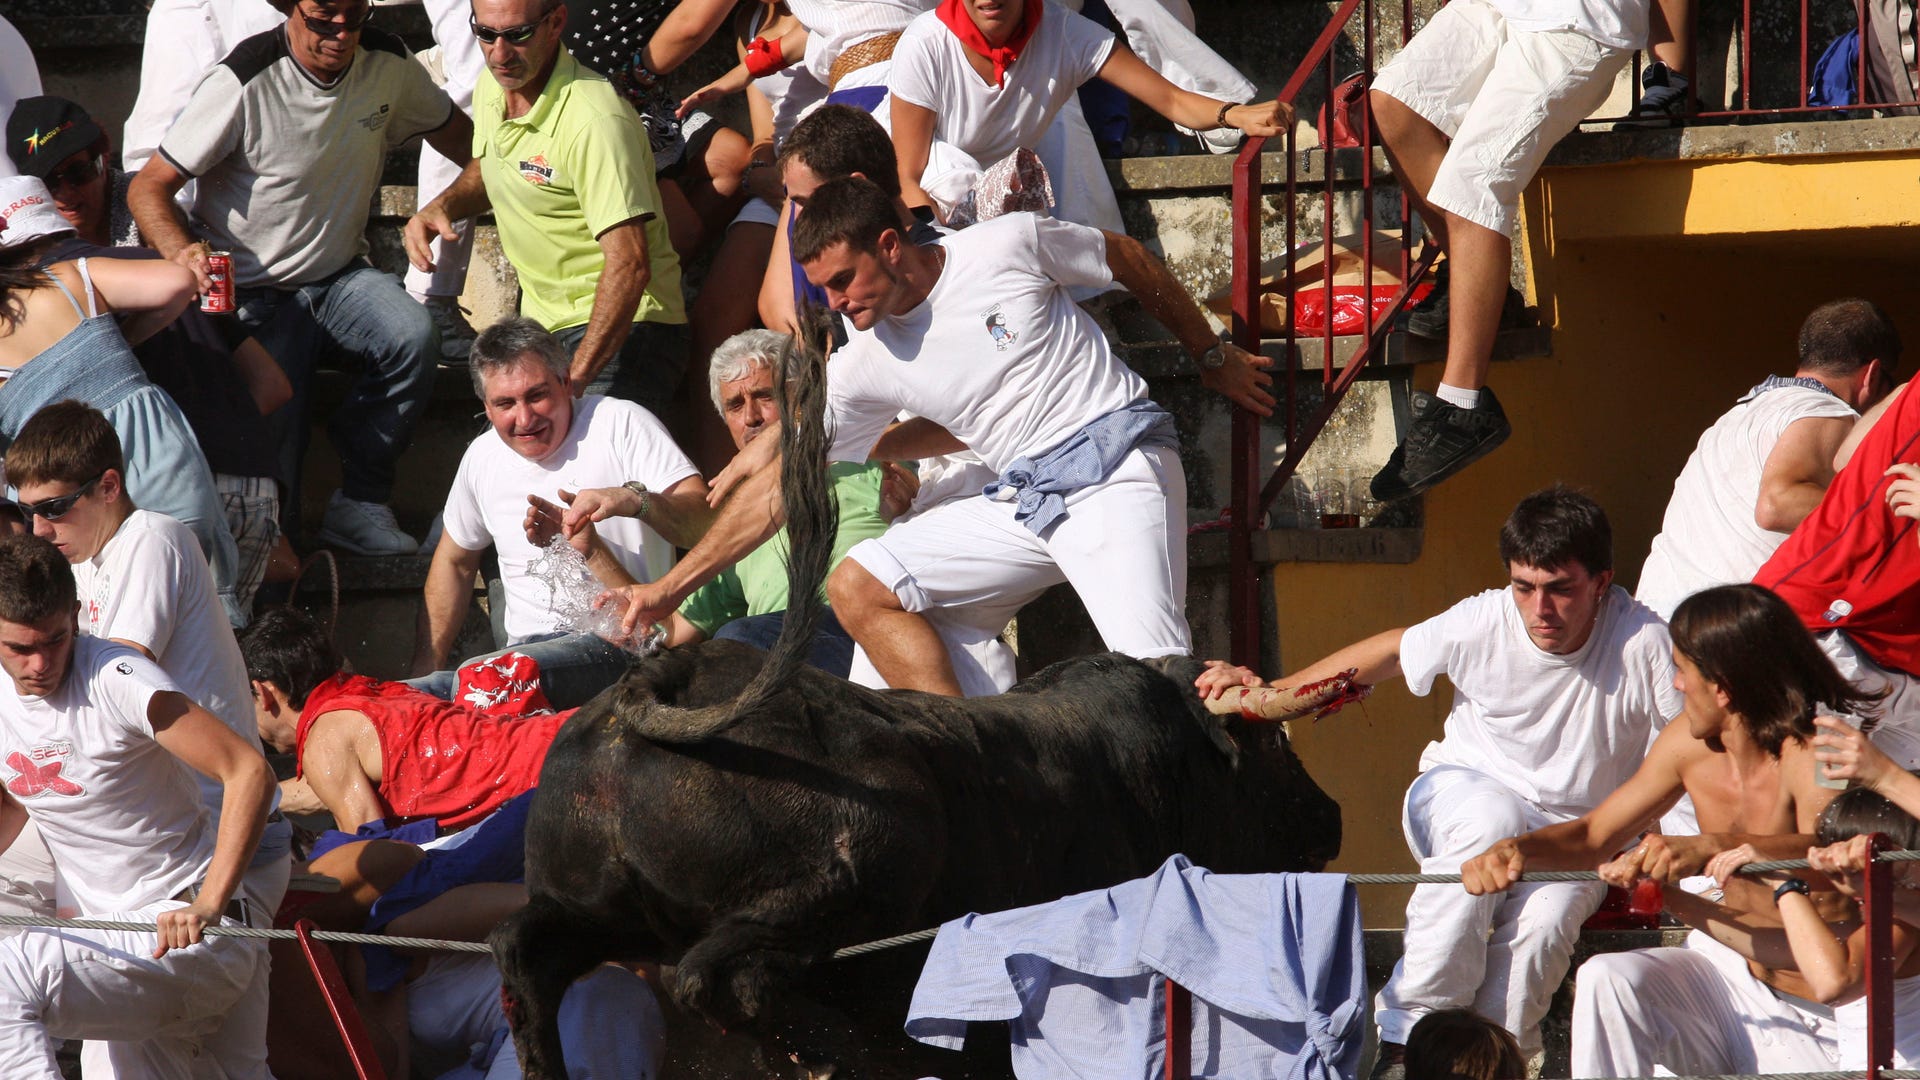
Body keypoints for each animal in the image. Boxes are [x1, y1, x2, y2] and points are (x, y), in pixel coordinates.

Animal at [487, 330, 1344, 1076]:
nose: (1332, 815)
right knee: (714, 975)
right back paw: (822, 1054)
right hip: (856, 868)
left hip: (589, 906)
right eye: (1274, 750)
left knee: (525, 958)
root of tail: (659, 680)